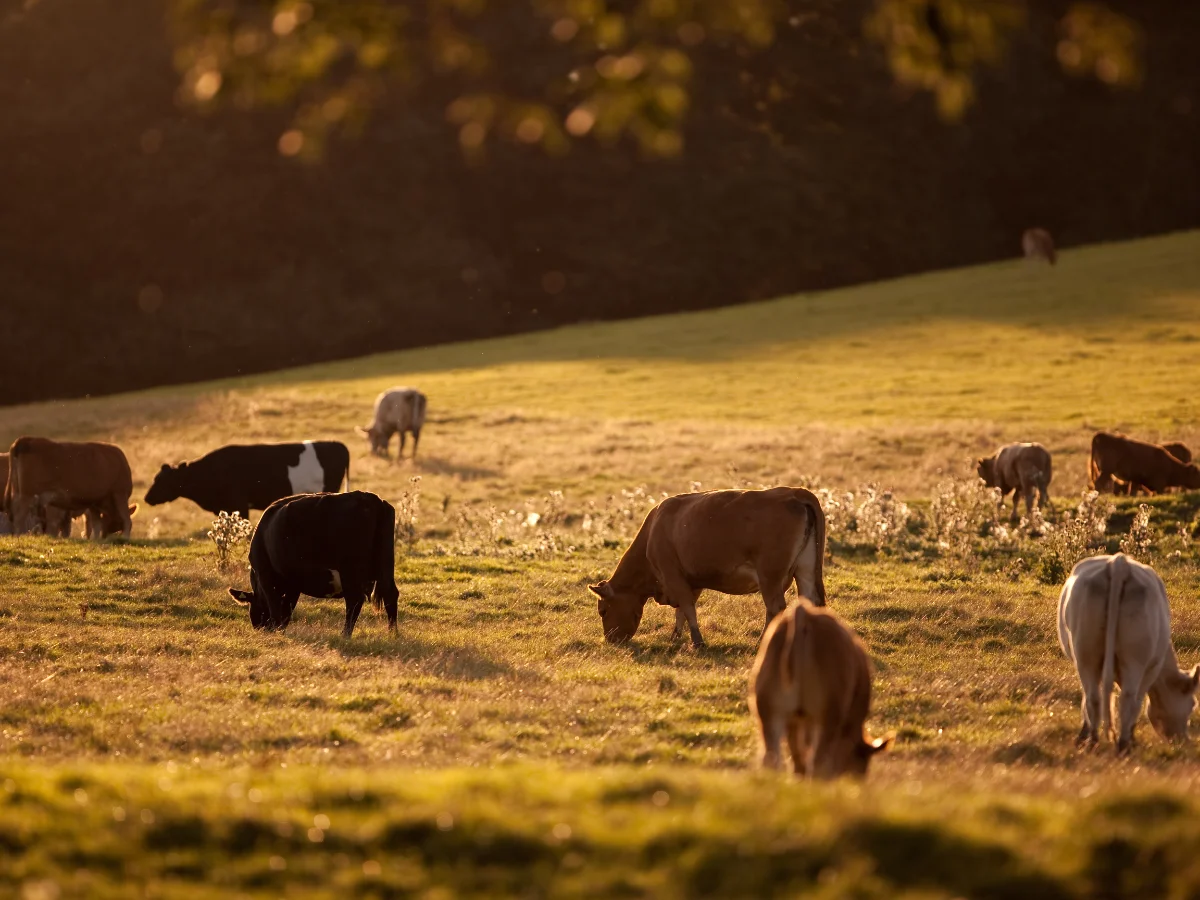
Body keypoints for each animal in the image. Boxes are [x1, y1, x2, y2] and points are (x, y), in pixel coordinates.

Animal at [3, 437, 136, 538]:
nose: (106, 537)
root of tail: (26, 440)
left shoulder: (93, 504)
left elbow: (96, 525)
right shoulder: (119, 493)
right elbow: (126, 520)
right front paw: (125, 538)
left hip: (18, 493)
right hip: (27, 495)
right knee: (19, 516)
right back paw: (19, 536)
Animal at [228, 491, 399, 638]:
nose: (260, 629)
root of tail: (370, 499)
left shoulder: (266, 576)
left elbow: (276, 608)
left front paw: (278, 631)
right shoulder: (293, 584)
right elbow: (287, 608)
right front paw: (281, 630)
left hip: (351, 572)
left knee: (354, 600)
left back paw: (345, 635)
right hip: (385, 567)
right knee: (390, 594)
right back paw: (392, 634)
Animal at [588, 487, 827, 649]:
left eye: (603, 610)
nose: (610, 641)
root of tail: (793, 492)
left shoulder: (673, 575)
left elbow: (687, 608)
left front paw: (698, 642)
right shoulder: (692, 581)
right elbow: (682, 612)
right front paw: (675, 638)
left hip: (770, 577)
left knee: (775, 608)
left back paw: (762, 642)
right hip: (805, 571)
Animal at [1058, 553, 1200, 754]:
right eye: (1192, 705)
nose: (1183, 740)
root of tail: (1119, 563)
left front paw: (1082, 736)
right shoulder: (1151, 669)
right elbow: (1139, 702)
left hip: (1086, 654)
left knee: (1094, 697)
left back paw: (1093, 741)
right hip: (1135, 660)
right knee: (1129, 699)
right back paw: (1124, 744)